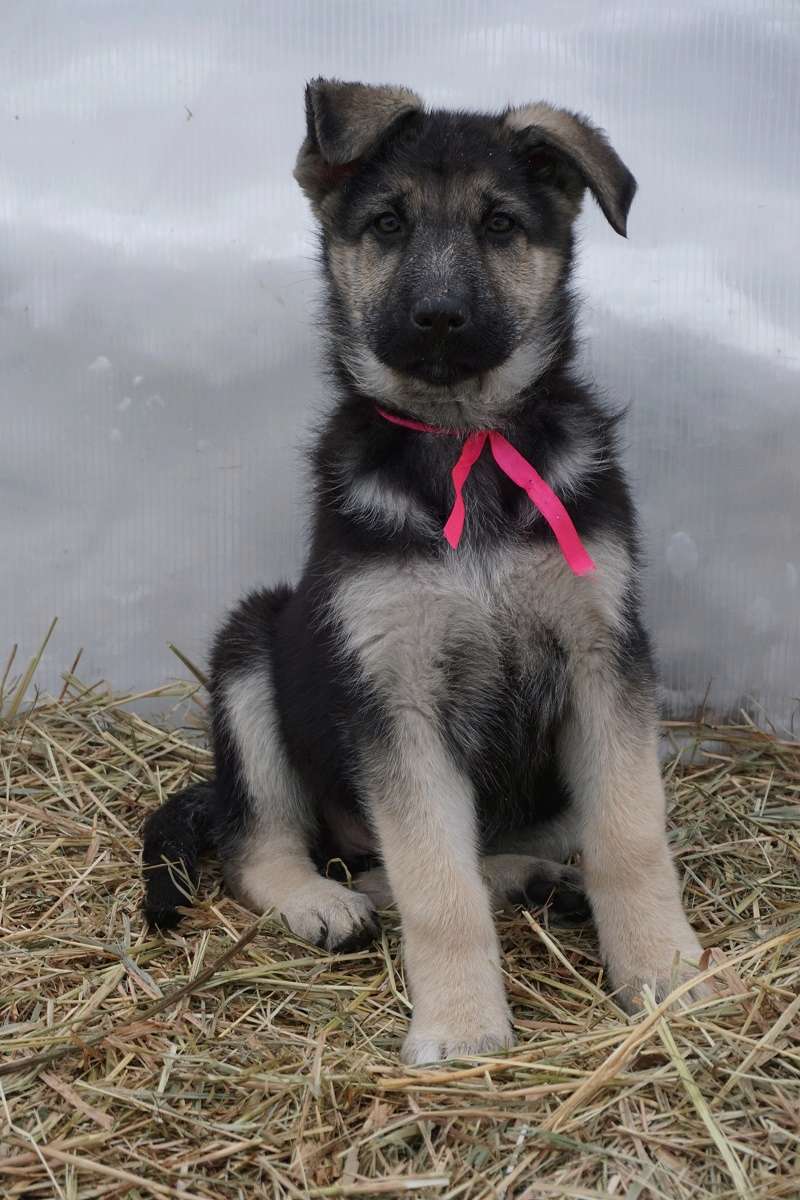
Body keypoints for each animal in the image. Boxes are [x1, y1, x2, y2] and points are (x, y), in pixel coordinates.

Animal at [142, 79, 705, 1065]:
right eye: (388, 223)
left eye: (502, 223)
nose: (439, 316)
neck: (461, 439)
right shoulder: (392, 694)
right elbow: (435, 884)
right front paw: (462, 1026)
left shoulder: (606, 657)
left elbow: (630, 834)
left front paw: (661, 967)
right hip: (252, 647)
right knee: (269, 845)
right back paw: (324, 900)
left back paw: (533, 875)